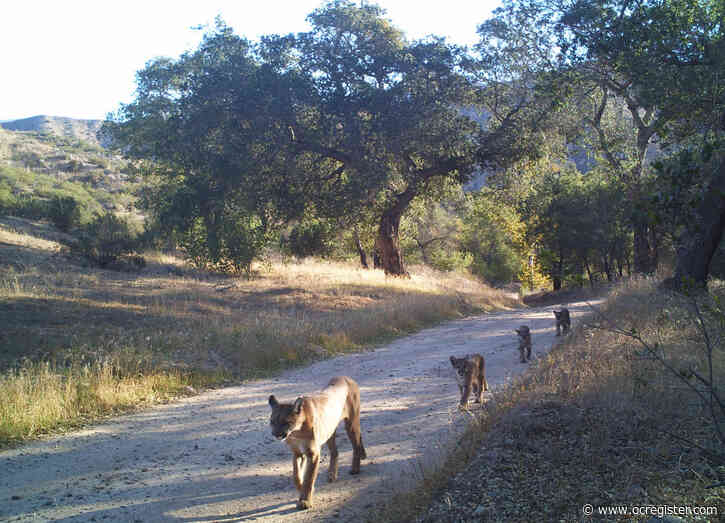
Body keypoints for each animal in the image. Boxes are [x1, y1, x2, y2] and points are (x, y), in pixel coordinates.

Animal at [268, 376, 366, 510]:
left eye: (286, 422)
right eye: (272, 421)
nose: (275, 434)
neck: (296, 432)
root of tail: (345, 377)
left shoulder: (313, 453)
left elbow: (309, 477)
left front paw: (305, 500)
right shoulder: (298, 453)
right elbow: (296, 476)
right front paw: (302, 490)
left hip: (351, 423)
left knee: (355, 445)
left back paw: (355, 469)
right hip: (330, 431)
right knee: (335, 452)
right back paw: (332, 475)